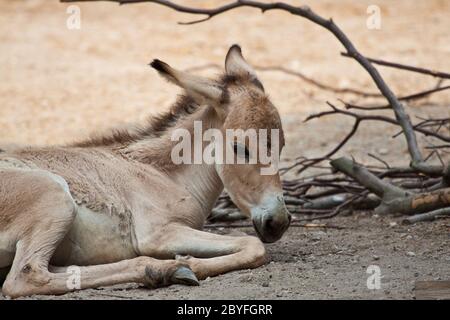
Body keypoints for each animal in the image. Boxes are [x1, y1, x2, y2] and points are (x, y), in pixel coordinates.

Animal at [0, 45, 290, 298]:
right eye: (240, 147)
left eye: (281, 144)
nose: (279, 222)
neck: (161, 172)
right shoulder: (160, 234)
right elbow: (253, 245)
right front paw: (190, 263)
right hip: (55, 198)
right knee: (25, 276)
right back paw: (167, 270)